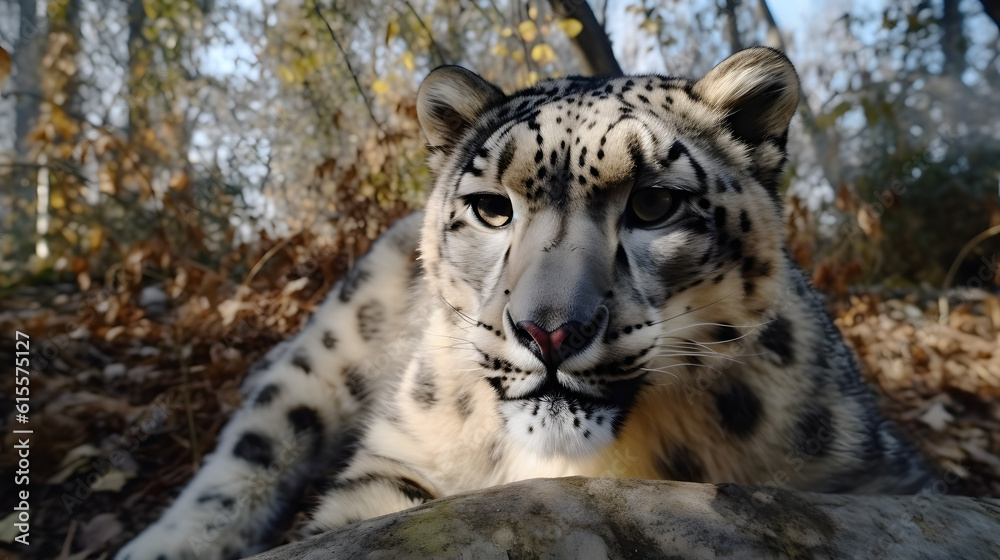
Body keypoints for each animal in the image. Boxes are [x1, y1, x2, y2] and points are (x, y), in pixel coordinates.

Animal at [116, 47, 933, 560]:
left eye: (655, 204)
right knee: (257, 438)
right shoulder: (399, 457)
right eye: (491, 208)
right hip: (337, 339)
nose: (549, 332)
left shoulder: (878, 479)